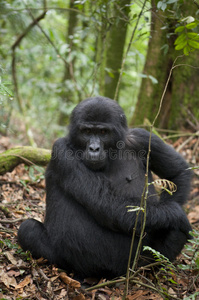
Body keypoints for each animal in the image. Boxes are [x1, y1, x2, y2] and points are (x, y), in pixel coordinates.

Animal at [17, 97, 192, 278]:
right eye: (87, 131)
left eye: (102, 132)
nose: (94, 148)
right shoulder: (62, 151)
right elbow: (107, 203)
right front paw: (175, 213)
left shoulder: (143, 138)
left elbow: (178, 173)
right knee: (28, 229)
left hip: (134, 264)